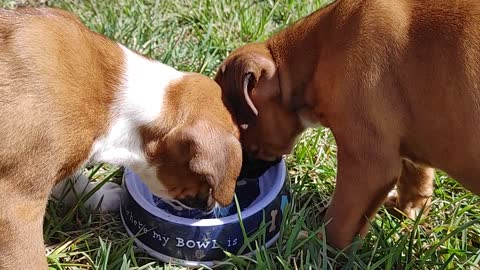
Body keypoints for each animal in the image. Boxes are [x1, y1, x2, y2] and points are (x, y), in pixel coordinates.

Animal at [216, 0, 480, 249]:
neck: (317, 53)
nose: (238, 176)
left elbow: (340, 222)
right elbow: (416, 176)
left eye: (238, 131)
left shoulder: (367, 166)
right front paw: (407, 210)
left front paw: (316, 245)